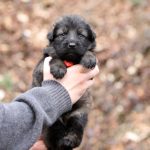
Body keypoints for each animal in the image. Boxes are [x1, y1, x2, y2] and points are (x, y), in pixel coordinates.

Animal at [32, 14, 96, 150]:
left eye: (81, 35)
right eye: (62, 34)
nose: (71, 44)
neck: (69, 61)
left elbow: (89, 52)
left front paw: (89, 57)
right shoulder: (41, 67)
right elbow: (54, 56)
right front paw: (59, 68)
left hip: (79, 114)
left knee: (76, 128)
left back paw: (70, 140)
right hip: (52, 122)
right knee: (55, 135)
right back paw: (62, 143)